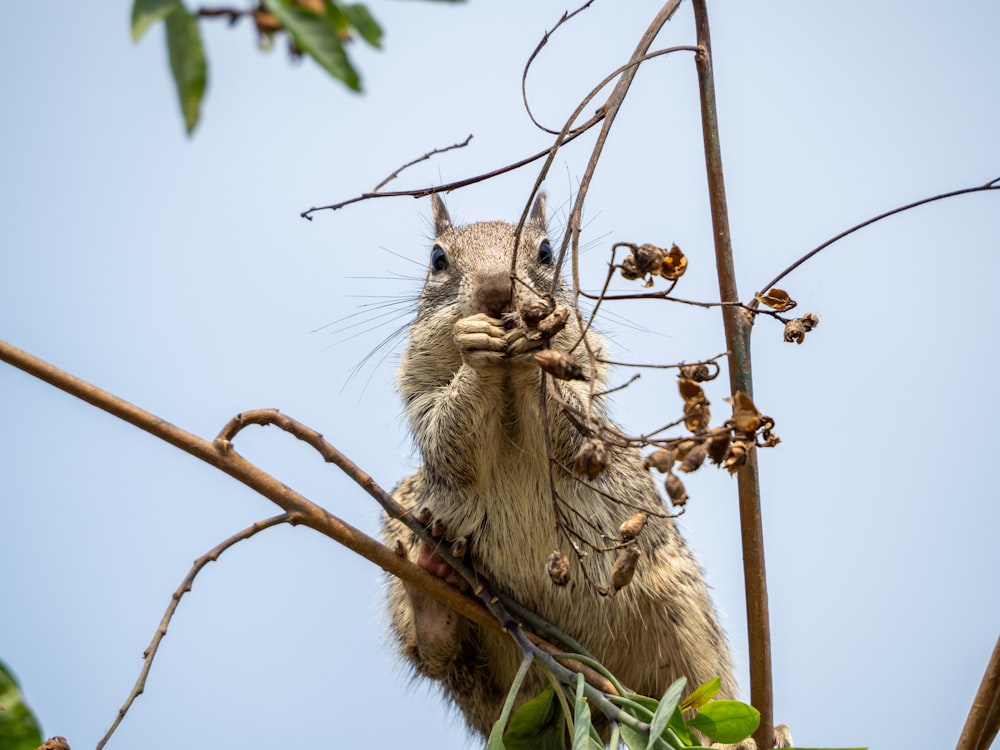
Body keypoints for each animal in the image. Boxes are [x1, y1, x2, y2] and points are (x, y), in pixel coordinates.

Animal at [382, 195, 744, 748]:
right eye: (438, 259)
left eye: (548, 252)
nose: (496, 289)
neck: (506, 380)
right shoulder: (419, 393)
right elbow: (447, 441)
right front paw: (473, 344)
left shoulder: (588, 385)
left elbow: (572, 428)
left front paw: (536, 343)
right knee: (439, 656)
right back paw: (431, 588)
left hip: (687, 625)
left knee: (699, 693)